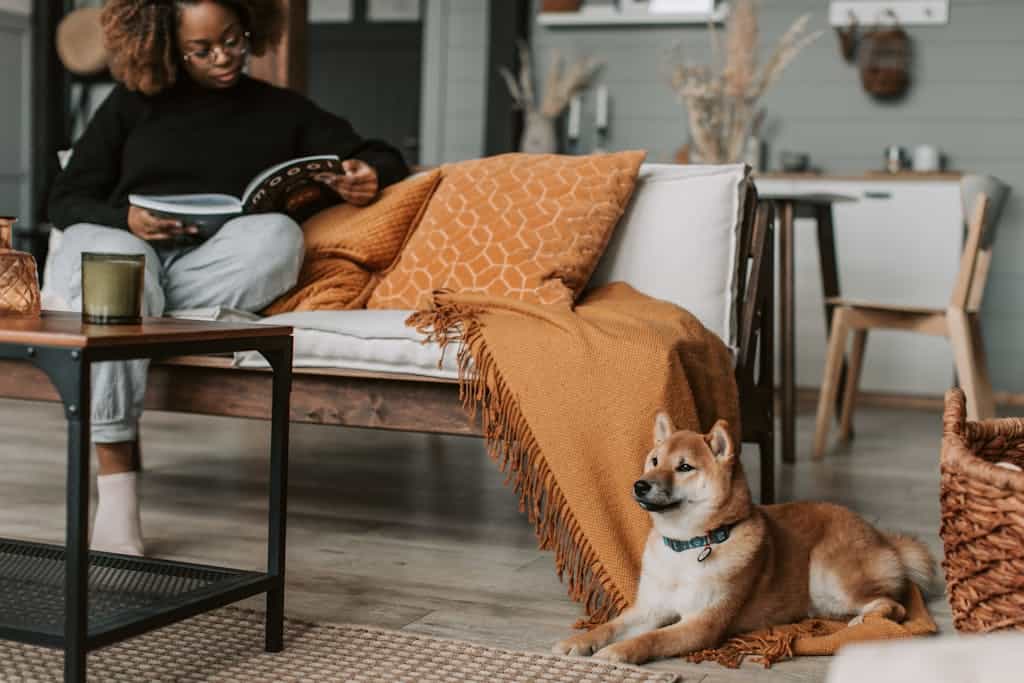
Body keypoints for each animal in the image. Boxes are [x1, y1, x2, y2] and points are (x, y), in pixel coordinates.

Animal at [552, 413, 937, 663]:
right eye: (654, 460)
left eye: (684, 467)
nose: (640, 485)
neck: (686, 546)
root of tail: (882, 538)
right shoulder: (649, 607)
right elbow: (610, 626)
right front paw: (580, 641)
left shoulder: (702, 624)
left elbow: (652, 638)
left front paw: (619, 652)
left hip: (826, 575)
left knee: (893, 605)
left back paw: (861, 622)